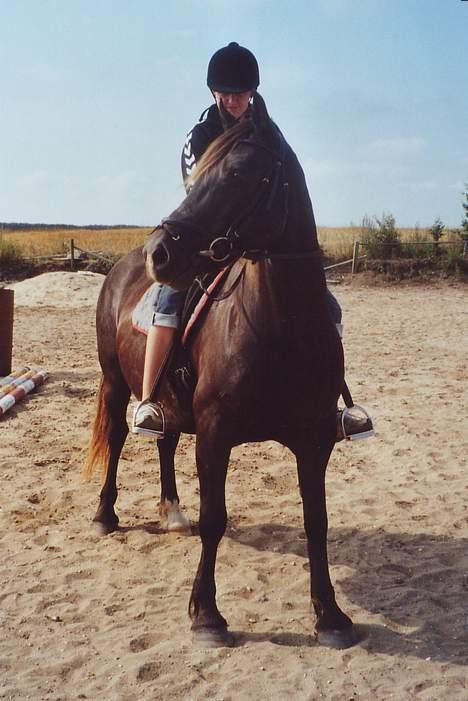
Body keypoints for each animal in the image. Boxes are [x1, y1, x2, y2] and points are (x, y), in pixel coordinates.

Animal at [84, 91, 356, 644]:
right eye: (196, 177)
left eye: (238, 174)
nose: (159, 252)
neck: (281, 326)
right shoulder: (214, 432)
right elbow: (215, 518)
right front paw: (206, 614)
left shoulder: (314, 439)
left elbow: (316, 520)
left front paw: (330, 614)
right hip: (115, 381)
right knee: (119, 437)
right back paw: (106, 514)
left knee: (165, 440)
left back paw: (171, 511)